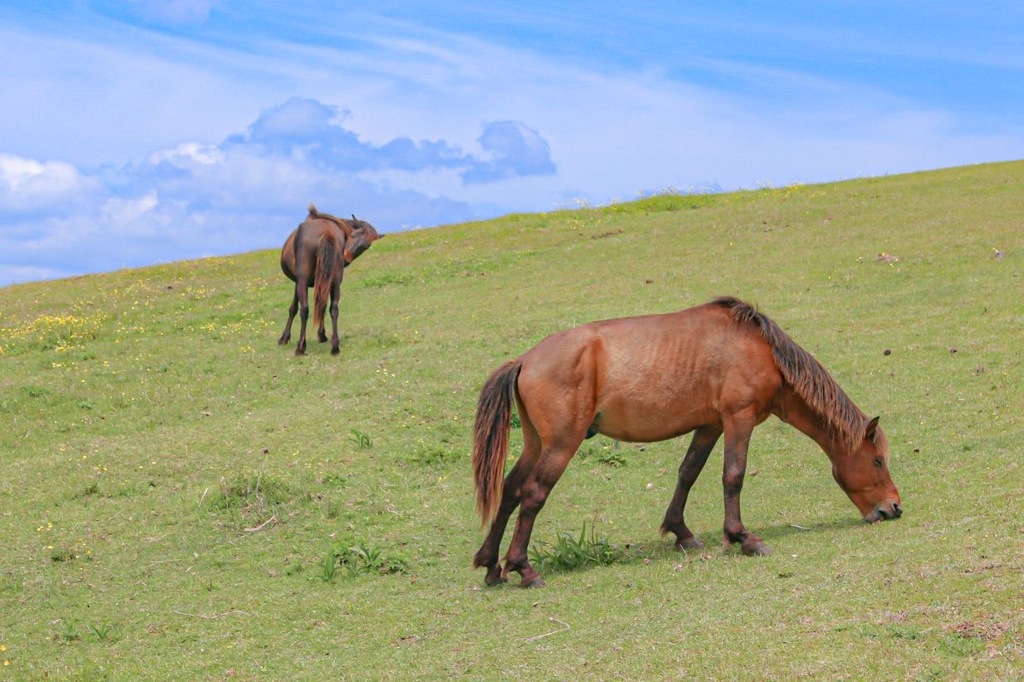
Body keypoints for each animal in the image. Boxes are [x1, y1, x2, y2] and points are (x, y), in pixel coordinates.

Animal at [278, 204, 382, 356]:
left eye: (364, 246)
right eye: (353, 236)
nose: (346, 258)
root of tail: (326, 233)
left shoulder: (298, 282)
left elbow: (293, 308)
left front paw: (284, 338)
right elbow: (322, 304)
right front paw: (322, 335)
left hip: (303, 281)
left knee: (304, 309)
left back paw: (301, 347)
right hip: (335, 282)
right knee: (334, 308)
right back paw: (335, 346)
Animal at [471, 294, 905, 585]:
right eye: (878, 461)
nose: (894, 508)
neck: (759, 348)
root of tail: (525, 360)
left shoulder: (710, 426)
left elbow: (688, 472)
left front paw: (681, 532)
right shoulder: (738, 418)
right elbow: (733, 475)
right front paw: (743, 538)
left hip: (536, 444)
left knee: (510, 490)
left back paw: (492, 565)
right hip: (561, 445)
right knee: (532, 494)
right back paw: (524, 569)